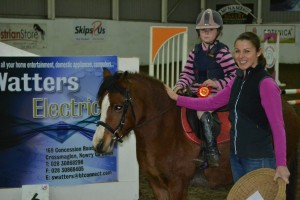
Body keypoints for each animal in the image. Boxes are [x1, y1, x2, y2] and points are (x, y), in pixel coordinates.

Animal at [92, 69, 300, 199]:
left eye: (118, 107)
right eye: (100, 104)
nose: (99, 144)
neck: (164, 131)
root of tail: (288, 109)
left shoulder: (177, 185)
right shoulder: (156, 184)